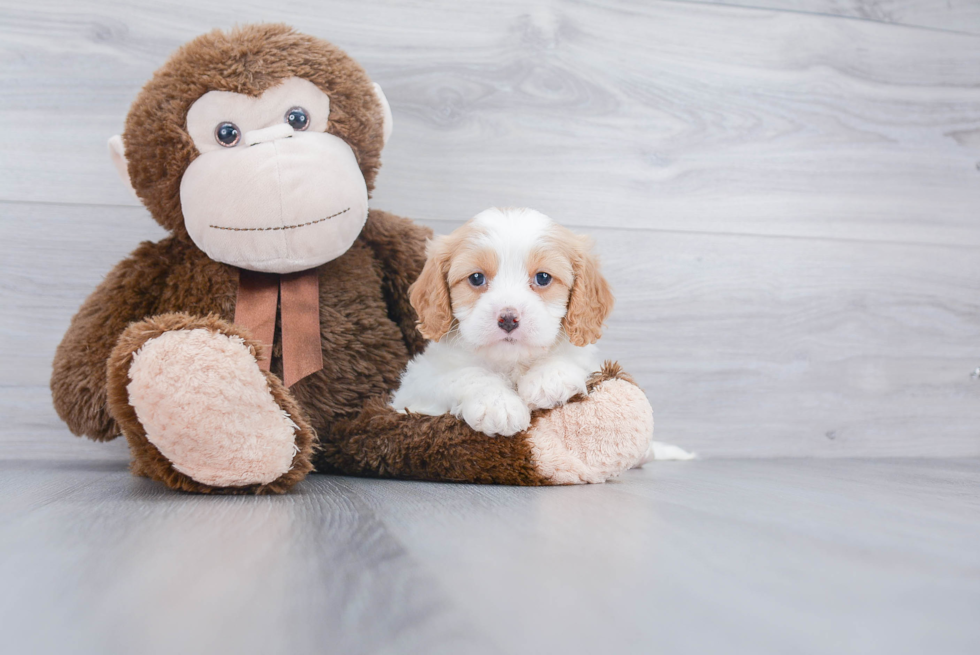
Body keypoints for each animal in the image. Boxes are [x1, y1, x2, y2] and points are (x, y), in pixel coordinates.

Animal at [388, 208, 612, 438]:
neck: (510, 362)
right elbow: (466, 374)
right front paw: (498, 405)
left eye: (543, 277)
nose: (508, 319)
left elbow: (573, 356)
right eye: (476, 278)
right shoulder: (417, 384)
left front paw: (550, 377)